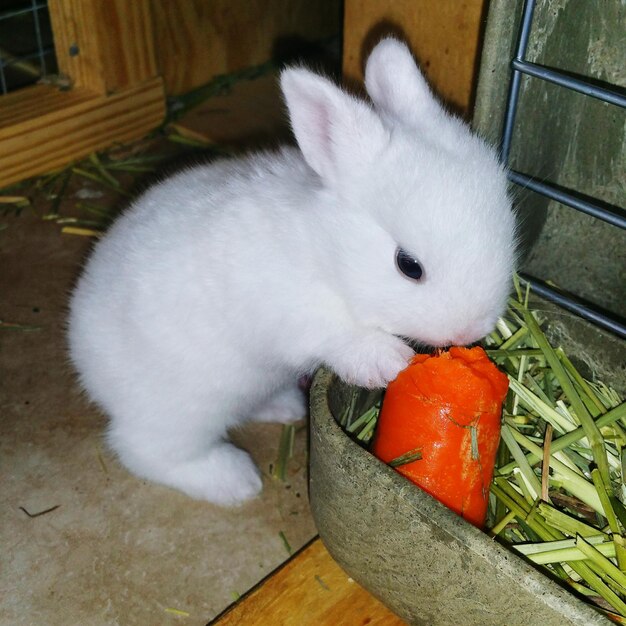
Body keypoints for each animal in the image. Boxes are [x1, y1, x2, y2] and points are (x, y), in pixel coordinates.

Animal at [68, 37, 516, 502]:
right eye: (408, 266)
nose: (471, 330)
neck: (327, 250)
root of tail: (83, 357)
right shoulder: (293, 312)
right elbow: (338, 334)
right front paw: (390, 362)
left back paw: (286, 408)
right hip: (182, 410)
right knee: (144, 451)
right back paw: (237, 480)